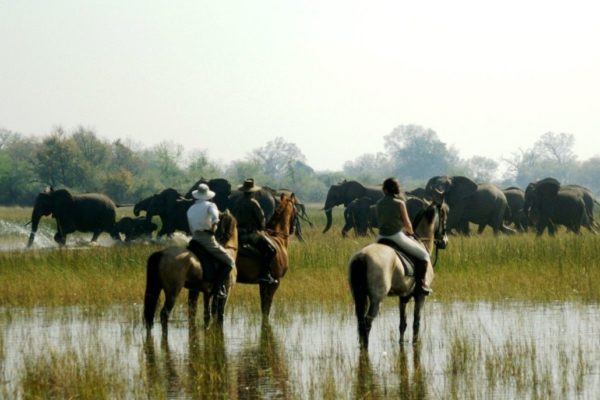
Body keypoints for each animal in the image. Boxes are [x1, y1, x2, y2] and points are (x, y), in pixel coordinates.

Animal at [344, 198, 448, 348]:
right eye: (444, 216)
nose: (445, 242)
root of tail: (362, 256)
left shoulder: (403, 296)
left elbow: (402, 324)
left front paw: (401, 343)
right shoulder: (420, 296)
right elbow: (416, 323)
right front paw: (415, 343)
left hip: (359, 295)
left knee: (361, 322)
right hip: (376, 298)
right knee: (367, 322)